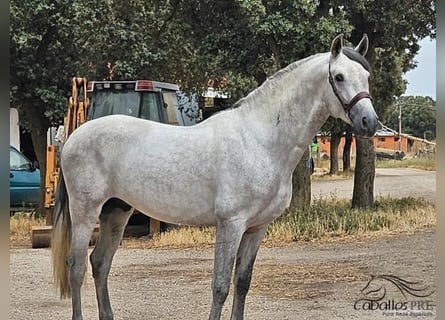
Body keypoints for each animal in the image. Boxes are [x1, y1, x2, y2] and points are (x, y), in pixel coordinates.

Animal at [52, 33, 378, 318]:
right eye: (339, 77)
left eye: (366, 76)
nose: (369, 122)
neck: (259, 140)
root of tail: (72, 137)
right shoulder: (230, 225)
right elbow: (220, 286)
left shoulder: (257, 228)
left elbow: (242, 283)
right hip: (85, 212)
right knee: (77, 267)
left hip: (117, 211)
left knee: (100, 264)